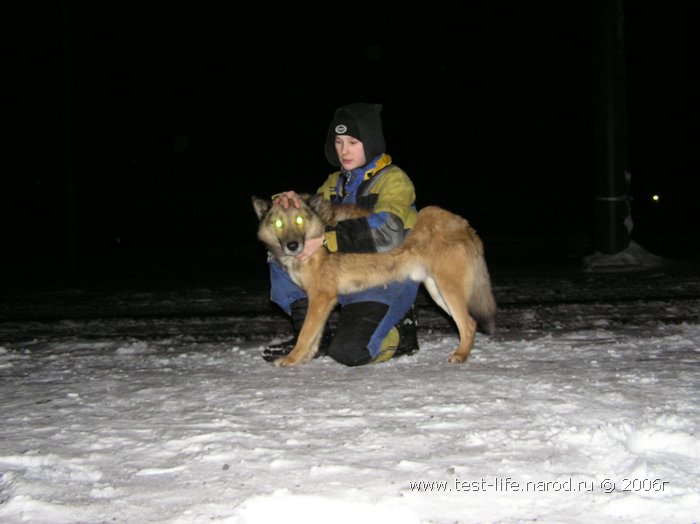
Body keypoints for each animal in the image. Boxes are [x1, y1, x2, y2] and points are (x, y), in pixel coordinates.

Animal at [253, 193, 498, 368]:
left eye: (299, 219)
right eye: (278, 224)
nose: (293, 246)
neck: (318, 232)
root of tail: (464, 224)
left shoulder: (322, 297)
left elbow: (305, 334)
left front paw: (292, 359)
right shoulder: (317, 302)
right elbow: (313, 336)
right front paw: (304, 358)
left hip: (448, 290)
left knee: (468, 324)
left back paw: (460, 355)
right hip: (437, 292)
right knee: (469, 323)